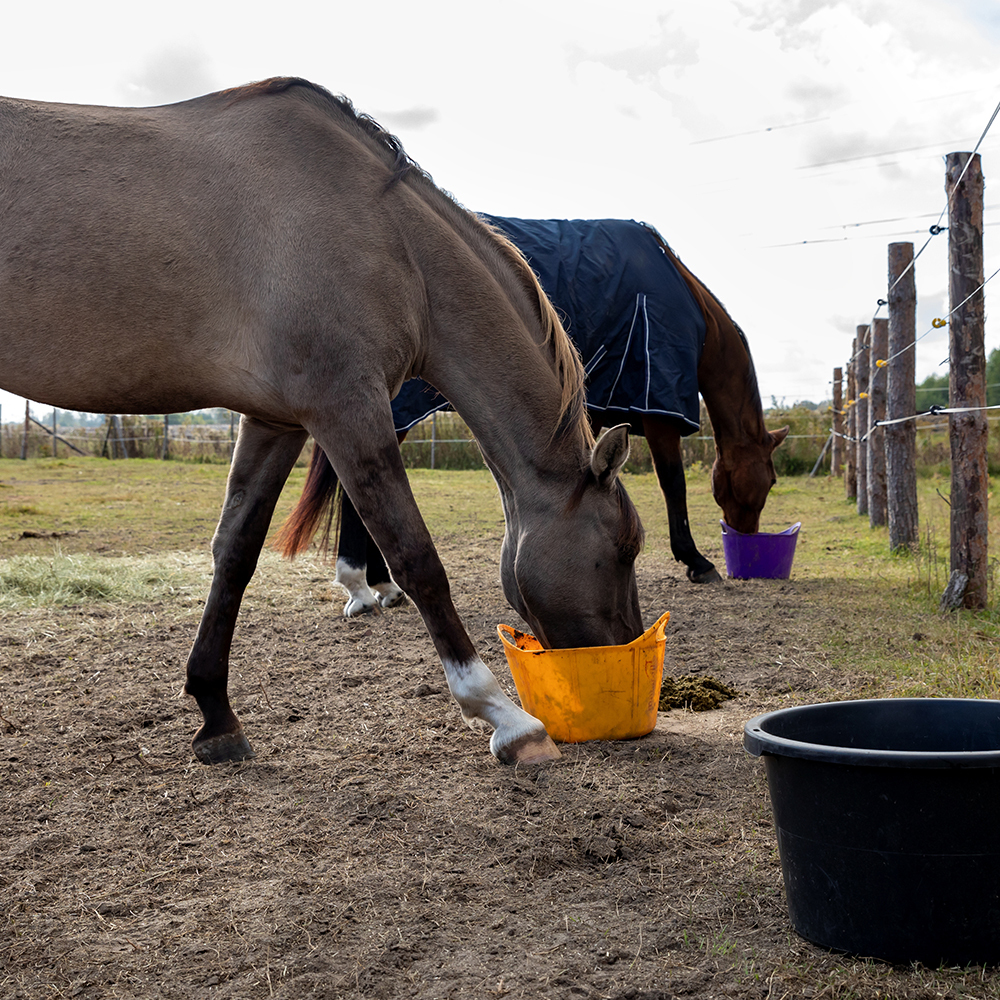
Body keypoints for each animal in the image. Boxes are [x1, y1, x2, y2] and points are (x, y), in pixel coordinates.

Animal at [0, 78, 646, 767]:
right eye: (625, 547)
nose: (626, 650)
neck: (389, 237)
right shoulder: (348, 408)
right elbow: (417, 558)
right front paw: (505, 717)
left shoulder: (275, 421)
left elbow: (235, 552)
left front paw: (215, 712)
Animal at [330, 217, 788, 616]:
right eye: (769, 481)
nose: (746, 539)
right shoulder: (659, 407)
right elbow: (673, 483)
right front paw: (697, 560)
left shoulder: (592, 412)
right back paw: (363, 586)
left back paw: (380, 585)